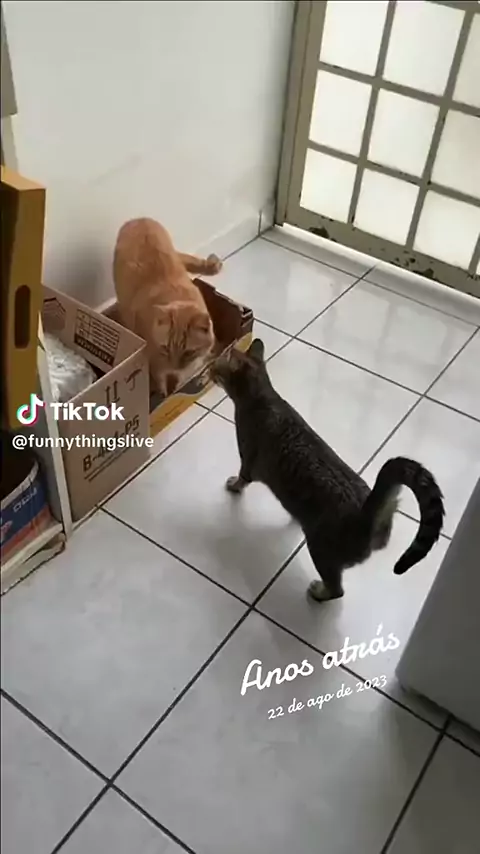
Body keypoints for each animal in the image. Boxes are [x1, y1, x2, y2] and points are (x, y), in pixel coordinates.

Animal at [113, 217, 221, 397]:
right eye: (165, 348)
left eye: (189, 352)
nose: (174, 366)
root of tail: (139, 219)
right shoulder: (155, 363)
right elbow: (161, 380)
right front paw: (164, 393)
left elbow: (179, 381)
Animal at [211, 339, 445, 601]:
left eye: (216, 365)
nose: (208, 369)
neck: (262, 397)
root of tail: (367, 516)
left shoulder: (248, 458)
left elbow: (242, 478)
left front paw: (233, 485)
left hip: (320, 550)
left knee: (337, 589)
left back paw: (319, 592)